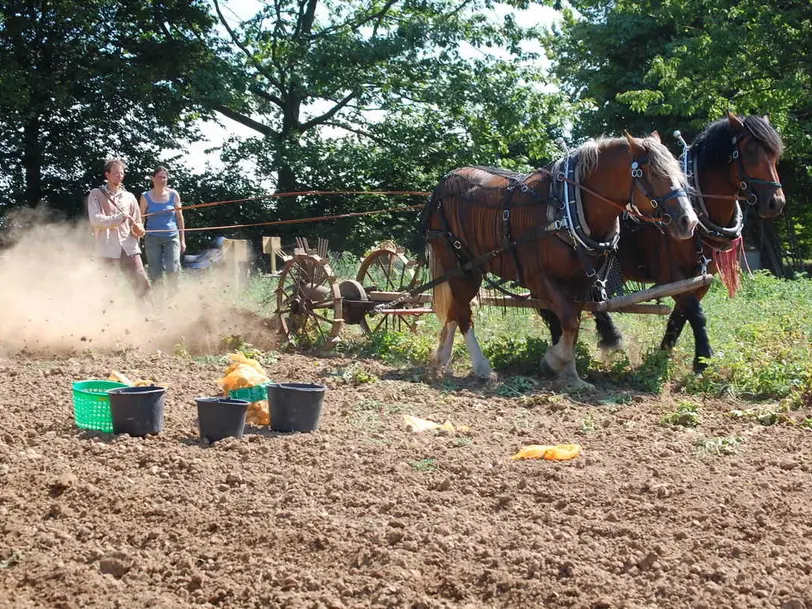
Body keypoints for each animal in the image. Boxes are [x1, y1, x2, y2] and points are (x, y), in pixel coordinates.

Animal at [418, 133, 696, 390]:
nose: (689, 222)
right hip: (458, 263)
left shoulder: (580, 281)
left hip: (468, 268)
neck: (568, 208)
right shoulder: (538, 278)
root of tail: (444, 182)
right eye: (653, 173)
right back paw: (482, 367)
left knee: (455, 309)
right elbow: (569, 321)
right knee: (464, 313)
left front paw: (568, 372)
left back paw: (442, 360)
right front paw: (557, 363)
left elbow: (572, 324)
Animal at [544, 113, 784, 370]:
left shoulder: (699, 279)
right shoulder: (671, 275)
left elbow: (681, 315)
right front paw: (703, 359)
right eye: (749, 150)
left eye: (775, 155)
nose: (776, 203)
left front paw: (665, 351)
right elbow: (696, 313)